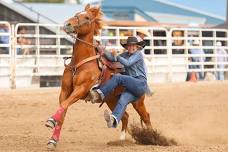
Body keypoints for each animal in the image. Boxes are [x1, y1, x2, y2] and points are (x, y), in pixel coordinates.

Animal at [45, 4, 151, 149]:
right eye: (76, 13)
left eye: (87, 17)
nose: (67, 24)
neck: (79, 63)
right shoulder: (65, 91)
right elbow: (63, 110)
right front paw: (53, 139)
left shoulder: (80, 90)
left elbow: (64, 105)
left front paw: (51, 121)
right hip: (112, 99)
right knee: (125, 116)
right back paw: (121, 140)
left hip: (137, 101)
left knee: (146, 117)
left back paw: (153, 137)